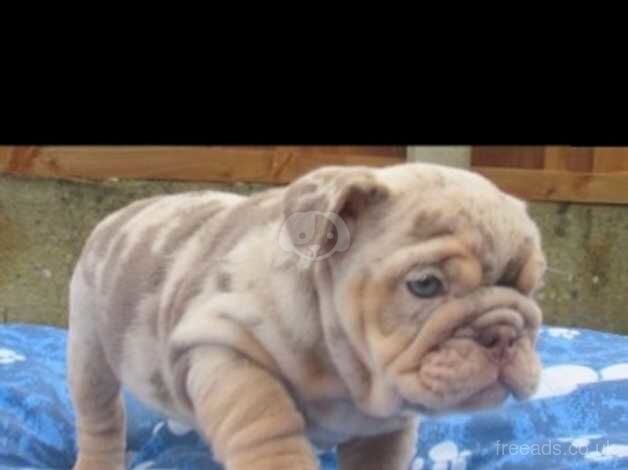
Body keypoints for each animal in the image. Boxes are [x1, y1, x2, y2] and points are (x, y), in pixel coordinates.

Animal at [66, 162, 544, 470]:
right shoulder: (219, 343)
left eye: (533, 287)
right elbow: (264, 418)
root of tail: (117, 216)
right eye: (425, 285)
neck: (348, 374)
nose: (504, 332)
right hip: (89, 347)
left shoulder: (383, 429)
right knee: (100, 418)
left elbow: (382, 457)